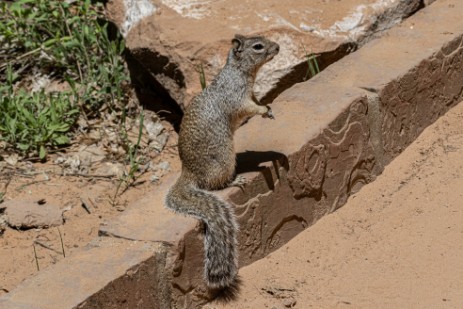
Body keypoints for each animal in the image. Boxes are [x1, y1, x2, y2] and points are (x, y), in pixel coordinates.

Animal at [166, 34, 280, 288]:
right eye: (258, 46)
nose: (277, 47)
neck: (240, 72)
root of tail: (188, 173)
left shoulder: (249, 93)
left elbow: (257, 100)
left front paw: (268, 108)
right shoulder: (237, 98)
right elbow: (249, 107)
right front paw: (262, 110)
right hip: (225, 159)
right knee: (214, 184)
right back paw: (234, 181)